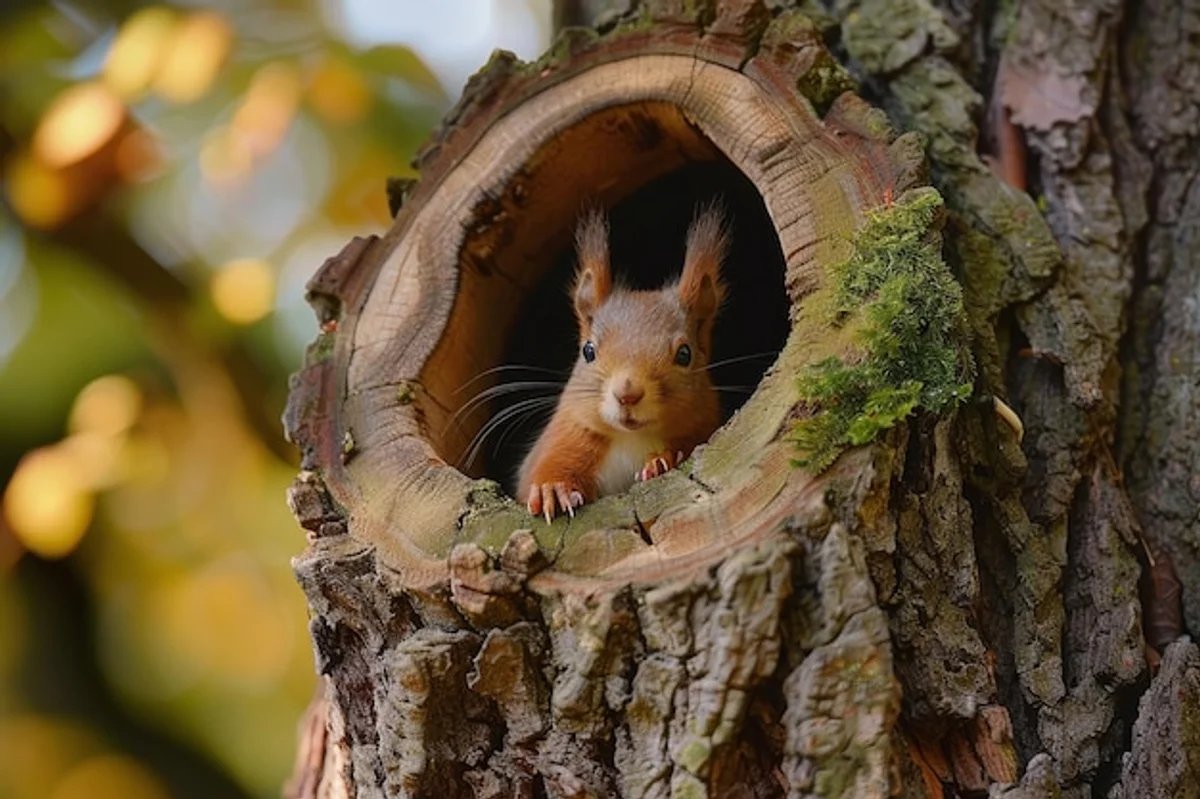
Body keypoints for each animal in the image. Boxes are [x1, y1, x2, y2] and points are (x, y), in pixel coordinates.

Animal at [517, 204, 728, 522]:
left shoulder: (703, 428)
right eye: (588, 351)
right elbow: (540, 472)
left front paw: (662, 460)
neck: (632, 439)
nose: (627, 394)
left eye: (685, 354)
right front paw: (551, 489)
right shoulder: (567, 436)